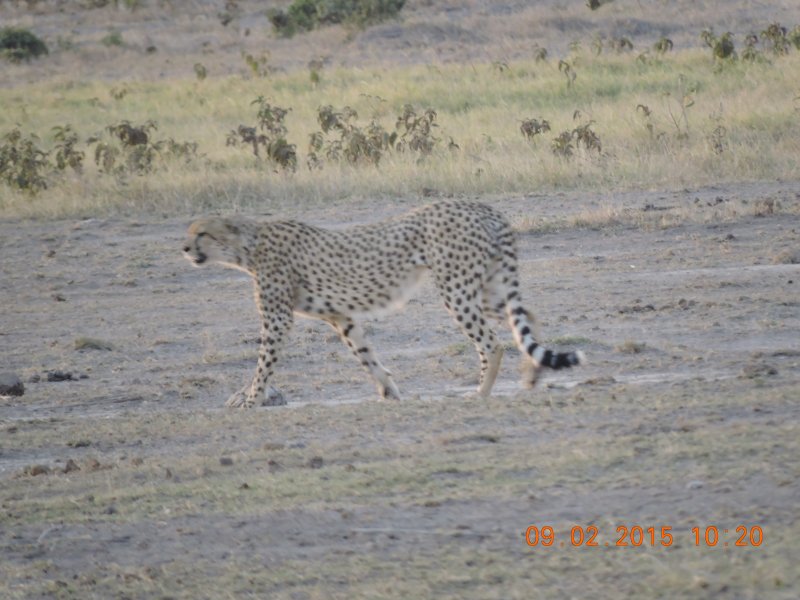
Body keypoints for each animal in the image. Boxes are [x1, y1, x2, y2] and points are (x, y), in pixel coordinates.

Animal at [183, 200, 585, 407]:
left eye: (202, 233)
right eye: (191, 232)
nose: (184, 248)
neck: (247, 245)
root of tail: (480, 205)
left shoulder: (278, 319)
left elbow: (263, 364)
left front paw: (250, 402)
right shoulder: (339, 316)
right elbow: (364, 353)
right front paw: (388, 391)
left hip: (456, 289)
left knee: (492, 342)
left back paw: (481, 392)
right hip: (485, 288)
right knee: (526, 318)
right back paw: (531, 375)